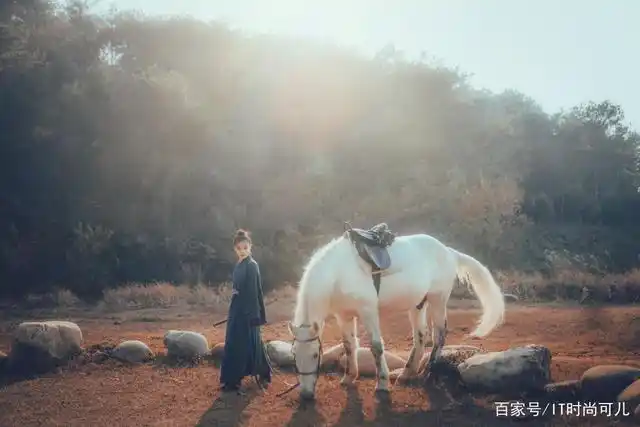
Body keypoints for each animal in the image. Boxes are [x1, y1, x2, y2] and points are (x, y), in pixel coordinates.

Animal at [287, 231, 506, 400]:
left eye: (316, 354)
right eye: (294, 355)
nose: (306, 394)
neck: (339, 272)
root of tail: (448, 251)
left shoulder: (368, 312)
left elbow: (376, 347)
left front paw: (382, 384)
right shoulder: (344, 316)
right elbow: (349, 346)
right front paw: (349, 377)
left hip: (438, 300)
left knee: (439, 335)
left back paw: (427, 372)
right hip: (418, 304)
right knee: (421, 336)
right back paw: (407, 373)